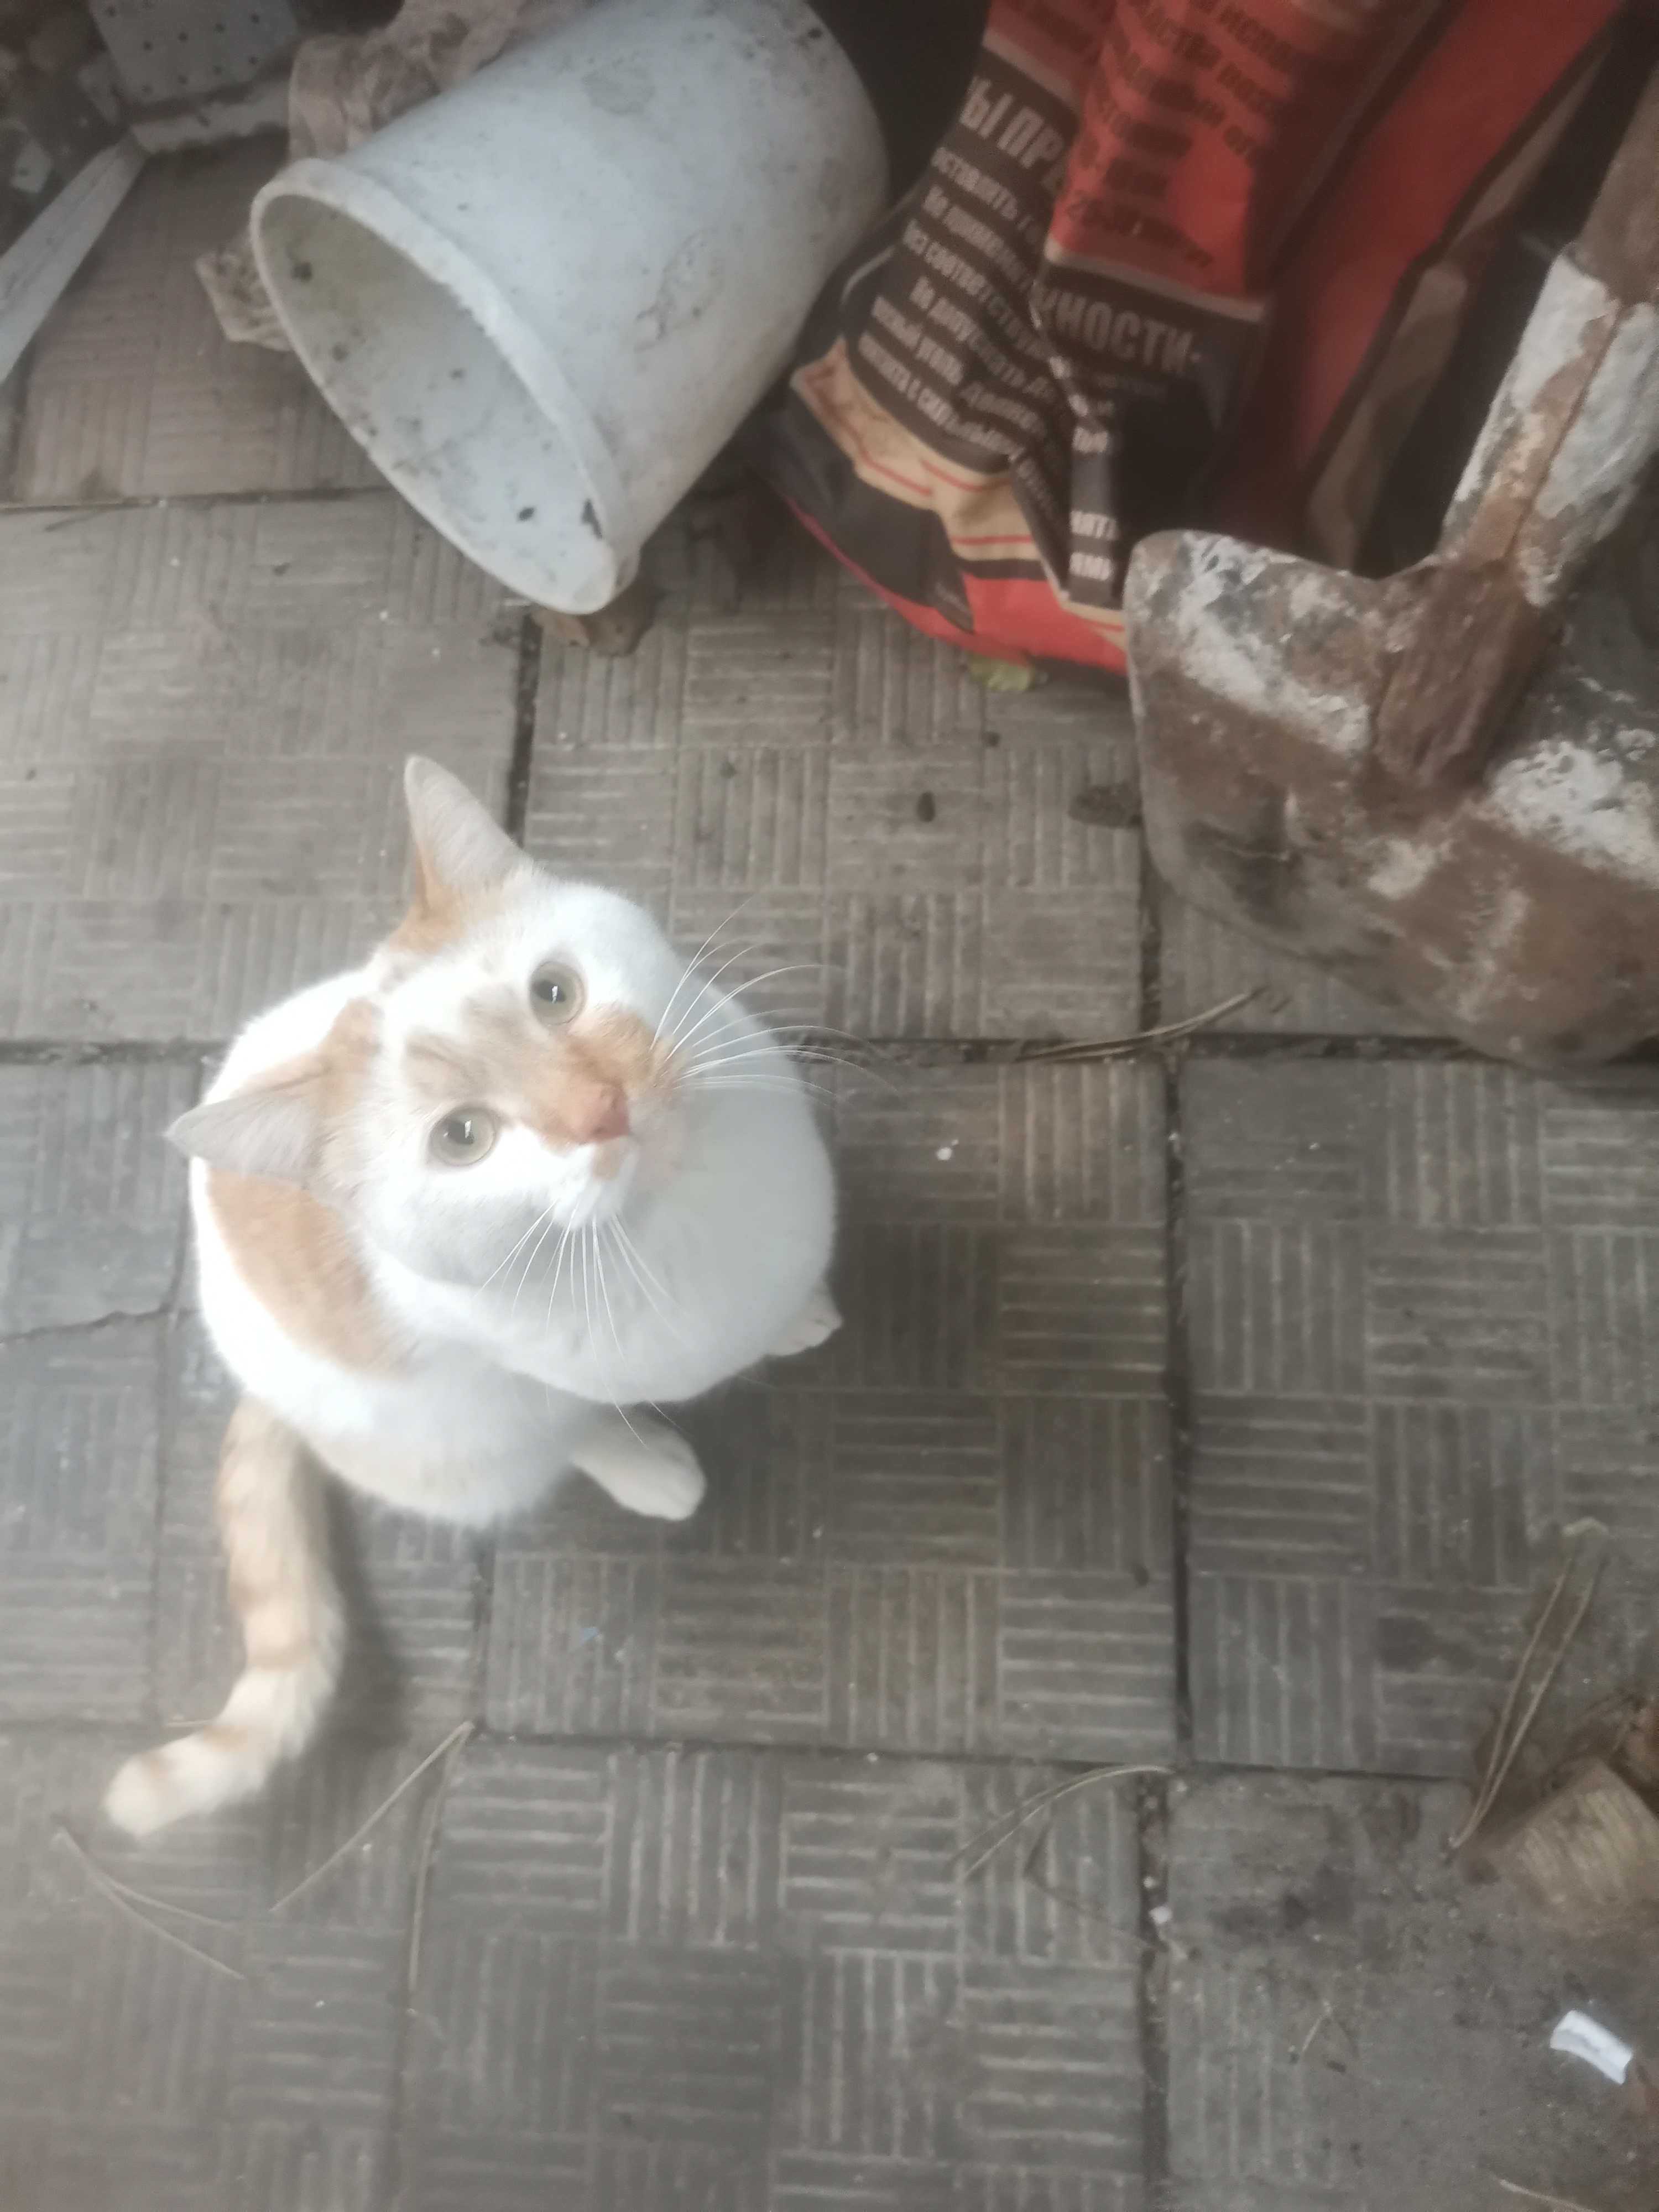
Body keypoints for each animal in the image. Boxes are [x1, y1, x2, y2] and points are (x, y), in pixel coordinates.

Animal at [106, 757, 838, 1835]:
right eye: (463, 1138)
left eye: (555, 993)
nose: (602, 1109)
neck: (686, 1208)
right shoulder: (535, 1366)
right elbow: (578, 1413)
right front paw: (656, 1448)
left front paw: (801, 1315)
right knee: (539, 1439)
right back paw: (646, 1472)